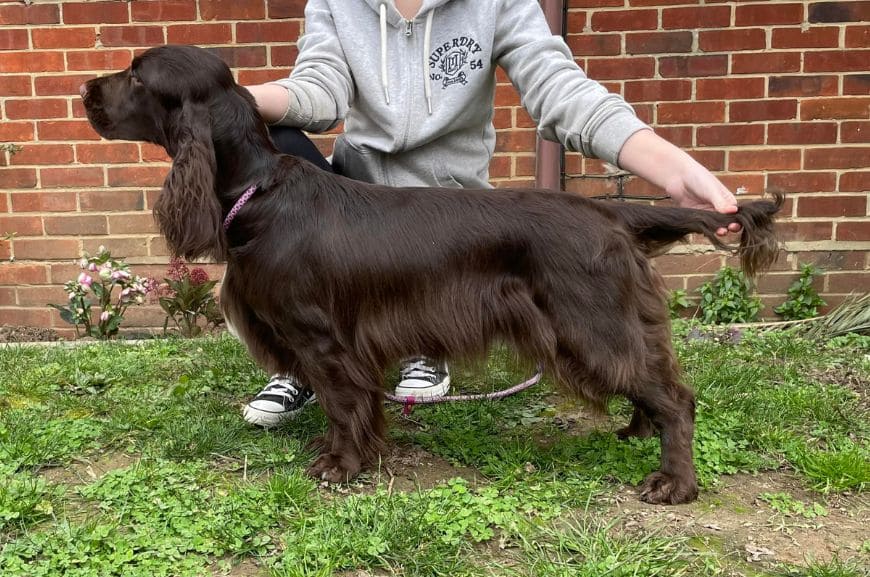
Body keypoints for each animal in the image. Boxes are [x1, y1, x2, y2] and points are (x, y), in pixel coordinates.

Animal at [82, 45, 784, 502]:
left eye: (137, 76)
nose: (86, 89)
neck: (259, 189)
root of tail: (607, 211)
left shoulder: (322, 337)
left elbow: (342, 403)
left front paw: (340, 466)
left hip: (590, 321)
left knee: (676, 397)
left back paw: (674, 483)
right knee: (652, 382)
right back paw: (635, 430)